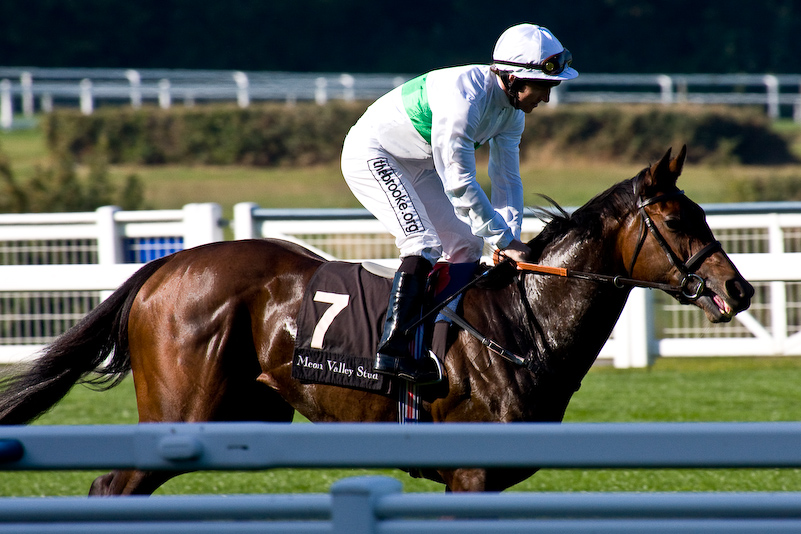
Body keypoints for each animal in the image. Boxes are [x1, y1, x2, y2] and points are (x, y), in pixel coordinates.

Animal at [0, 146, 752, 494]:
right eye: (678, 221)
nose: (738, 289)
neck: (522, 325)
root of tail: (165, 266)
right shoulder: (471, 473)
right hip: (179, 412)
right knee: (109, 485)